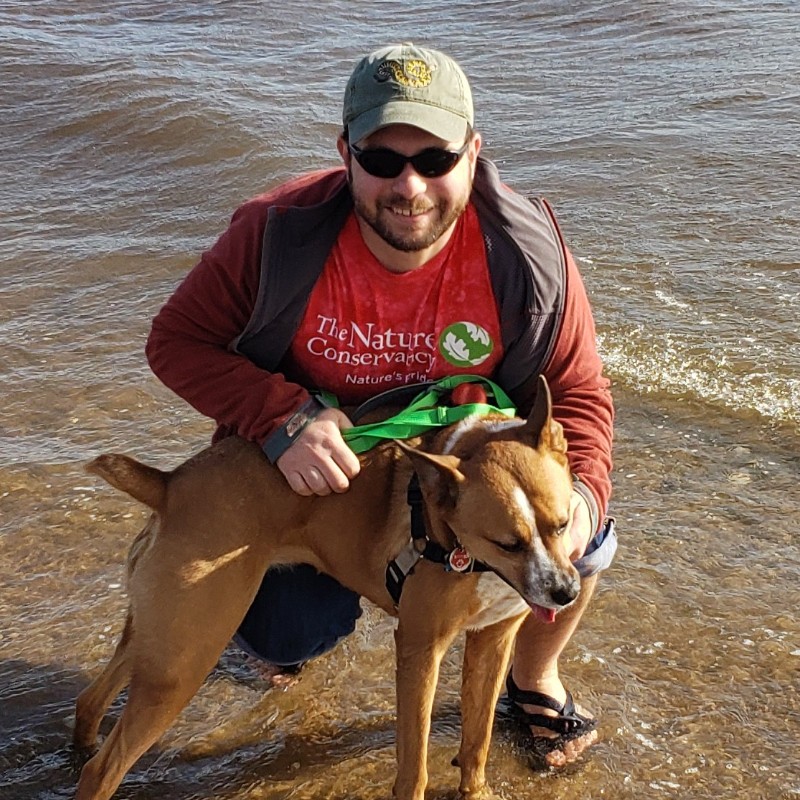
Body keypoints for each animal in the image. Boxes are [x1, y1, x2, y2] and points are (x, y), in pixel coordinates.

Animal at [73, 376, 576, 800]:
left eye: (563, 523)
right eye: (507, 543)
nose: (566, 592)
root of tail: (169, 486)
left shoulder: (493, 641)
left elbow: (477, 739)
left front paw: (476, 791)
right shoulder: (420, 649)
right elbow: (413, 763)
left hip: (158, 641)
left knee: (91, 700)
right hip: (185, 659)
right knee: (103, 770)